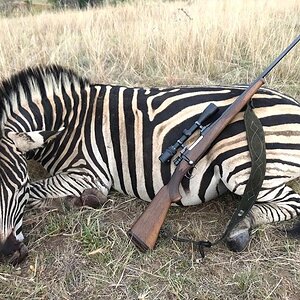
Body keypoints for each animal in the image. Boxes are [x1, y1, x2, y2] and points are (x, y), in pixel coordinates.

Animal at [0, 65, 298, 262]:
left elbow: (41, 190)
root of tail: (293, 103)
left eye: (20, 187)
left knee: (289, 201)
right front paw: (77, 200)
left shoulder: (90, 173)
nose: (10, 254)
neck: (68, 122)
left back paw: (239, 228)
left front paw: (78, 199)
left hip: (241, 168)